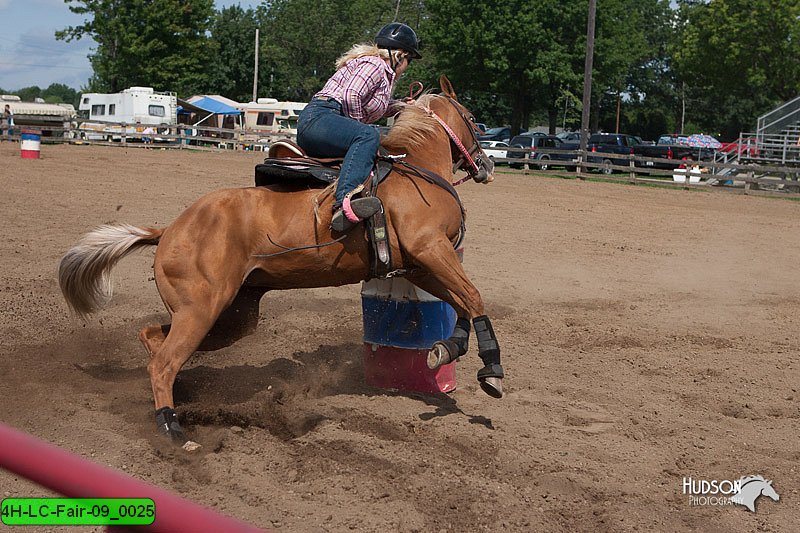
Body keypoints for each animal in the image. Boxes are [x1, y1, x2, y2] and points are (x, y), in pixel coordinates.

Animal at [59, 77, 504, 446]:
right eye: (473, 120)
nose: (488, 164)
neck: (417, 170)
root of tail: (169, 229)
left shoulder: (418, 265)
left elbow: (461, 304)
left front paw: (448, 348)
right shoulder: (430, 248)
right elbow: (473, 297)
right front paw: (492, 373)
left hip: (230, 318)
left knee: (154, 340)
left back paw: (176, 400)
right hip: (202, 311)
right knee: (164, 362)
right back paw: (173, 431)